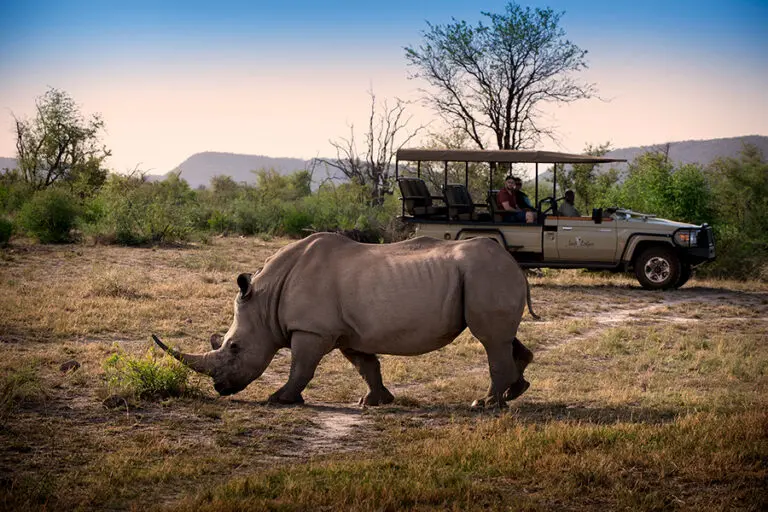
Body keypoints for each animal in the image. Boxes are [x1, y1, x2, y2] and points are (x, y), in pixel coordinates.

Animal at [153, 233, 536, 408]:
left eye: (233, 347)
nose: (220, 389)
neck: (265, 301)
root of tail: (514, 263)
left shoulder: (311, 330)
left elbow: (301, 368)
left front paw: (279, 399)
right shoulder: (347, 333)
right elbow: (366, 366)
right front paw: (375, 401)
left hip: (485, 275)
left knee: (490, 340)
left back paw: (484, 404)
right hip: (486, 277)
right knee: (503, 338)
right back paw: (513, 393)